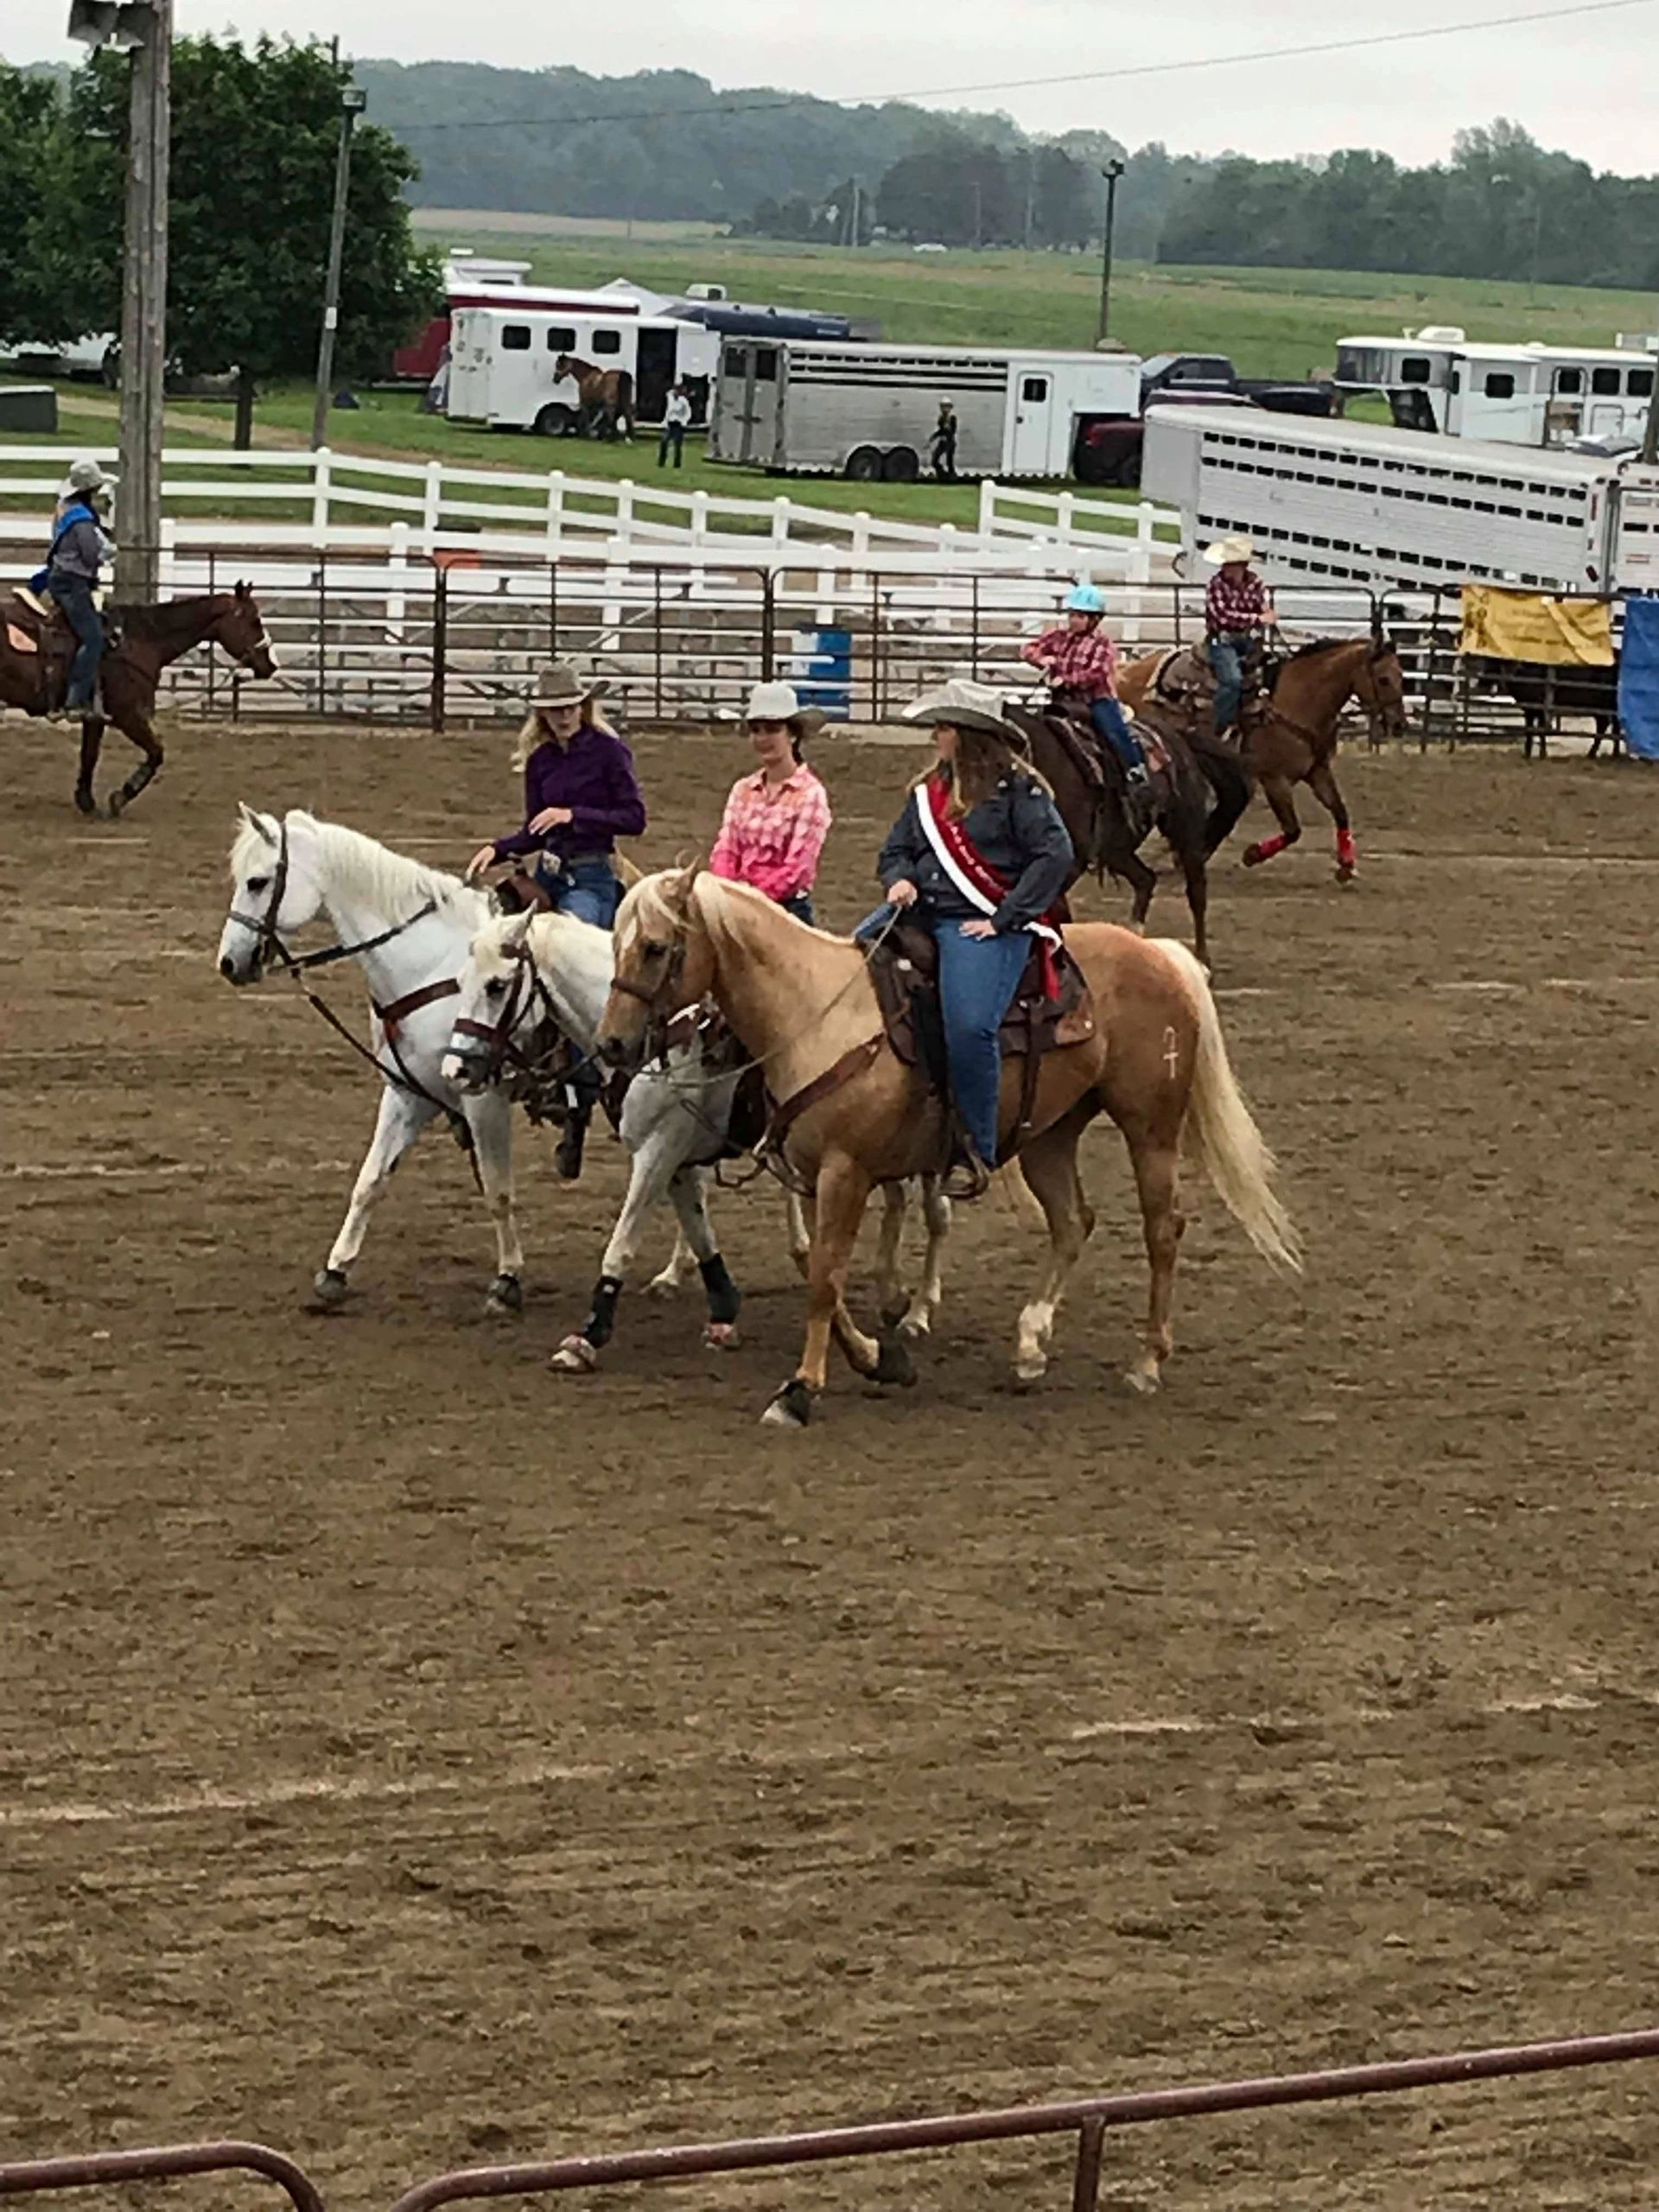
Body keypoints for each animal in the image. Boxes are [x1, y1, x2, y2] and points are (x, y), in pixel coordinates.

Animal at [0, 583, 279, 818]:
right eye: (254, 620)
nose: (272, 664)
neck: (139, 641)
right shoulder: (129, 716)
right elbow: (156, 752)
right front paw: (120, 797)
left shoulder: (96, 717)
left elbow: (89, 755)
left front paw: (86, 800)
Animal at [214, 800, 526, 1300]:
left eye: (257, 881)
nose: (228, 962)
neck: (435, 968)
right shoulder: (408, 1094)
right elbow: (371, 1181)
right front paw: (335, 1270)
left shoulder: (484, 1099)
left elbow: (497, 1189)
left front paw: (509, 1277)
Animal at [442, 902, 960, 1362]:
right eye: (461, 982)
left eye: (497, 985)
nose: (456, 1069)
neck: (656, 1039)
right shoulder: (676, 1157)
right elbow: (699, 1229)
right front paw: (722, 1309)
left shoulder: (658, 1150)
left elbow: (621, 1244)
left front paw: (589, 1336)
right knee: (900, 1203)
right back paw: (892, 1295)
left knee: (938, 1216)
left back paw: (918, 1311)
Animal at [593, 871, 1300, 1424]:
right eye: (616, 944)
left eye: (655, 947)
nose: (610, 1045)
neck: (818, 1014)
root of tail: (1158, 953)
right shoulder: (814, 1172)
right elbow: (819, 1268)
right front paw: (879, 1357)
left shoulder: (846, 1172)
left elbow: (824, 1279)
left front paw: (801, 1390)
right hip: (1050, 1135)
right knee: (1073, 1221)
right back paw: (1029, 1346)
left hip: (1149, 1126)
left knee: (1162, 1229)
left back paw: (1147, 1360)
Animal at [1110, 632, 1407, 880]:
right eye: (1383, 679)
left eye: (1402, 676)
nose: (1400, 725)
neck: (1294, 703)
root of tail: (1125, 671)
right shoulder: (1274, 779)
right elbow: (1292, 829)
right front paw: (1252, 855)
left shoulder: (1317, 771)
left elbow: (1340, 811)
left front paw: (1346, 865)